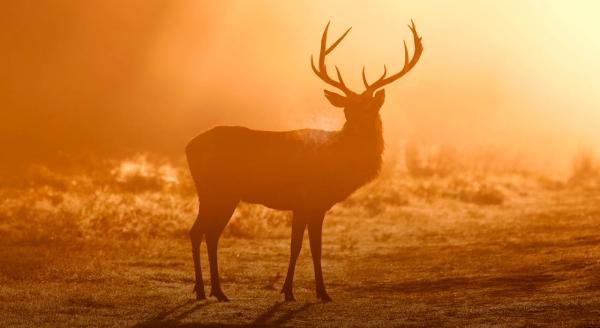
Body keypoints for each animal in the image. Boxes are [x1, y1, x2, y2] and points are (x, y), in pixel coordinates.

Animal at [185, 20, 424, 302]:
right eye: (347, 110)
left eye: (370, 109)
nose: (356, 130)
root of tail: (188, 148)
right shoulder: (308, 201)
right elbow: (305, 247)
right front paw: (310, 292)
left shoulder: (309, 205)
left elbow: (304, 246)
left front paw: (297, 290)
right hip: (219, 191)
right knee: (202, 232)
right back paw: (210, 290)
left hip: (214, 194)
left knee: (204, 233)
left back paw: (211, 290)